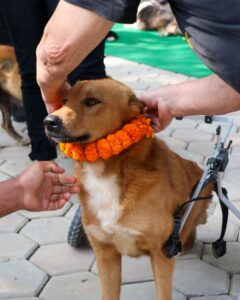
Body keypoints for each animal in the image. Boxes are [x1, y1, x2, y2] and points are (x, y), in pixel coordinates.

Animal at [44, 78, 212, 298]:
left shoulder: (161, 254)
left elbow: (163, 293)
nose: (48, 121)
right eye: (64, 101)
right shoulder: (105, 253)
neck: (104, 172)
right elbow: (109, 294)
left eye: (91, 101)